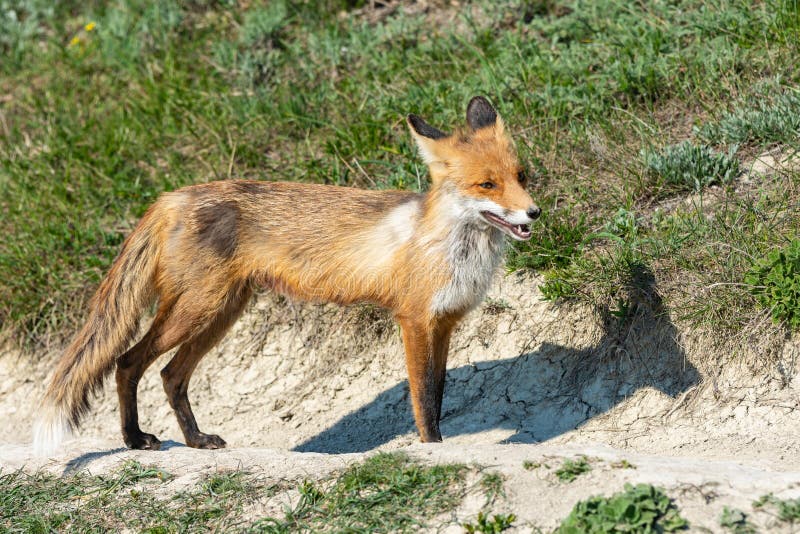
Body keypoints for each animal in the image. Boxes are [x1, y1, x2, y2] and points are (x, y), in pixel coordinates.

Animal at [34, 96, 540, 456]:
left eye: (521, 176)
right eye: (487, 185)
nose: (534, 212)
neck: (451, 248)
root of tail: (173, 195)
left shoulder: (446, 322)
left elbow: (438, 392)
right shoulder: (415, 320)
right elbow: (423, 400)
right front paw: (430, 448)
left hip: (220, 314)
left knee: (171, 375)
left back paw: (196, 441)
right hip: (196, 311)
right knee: (127, 362)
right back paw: (134, 439)